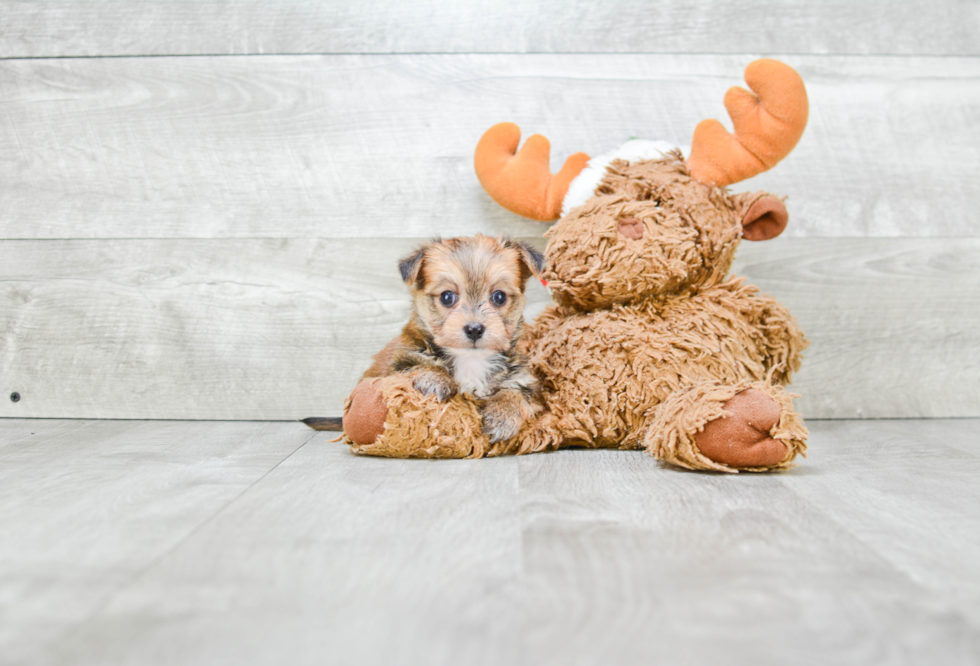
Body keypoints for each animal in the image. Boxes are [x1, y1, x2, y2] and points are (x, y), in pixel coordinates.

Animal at [306, 233, 544, 440]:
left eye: (499, 297)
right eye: (447, 297)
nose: (475, 329)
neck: (470, 360)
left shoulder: (524, 381)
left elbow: (516, 393)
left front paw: (503, 416)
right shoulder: (395, 365)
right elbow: (416, 366)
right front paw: (436, 379)